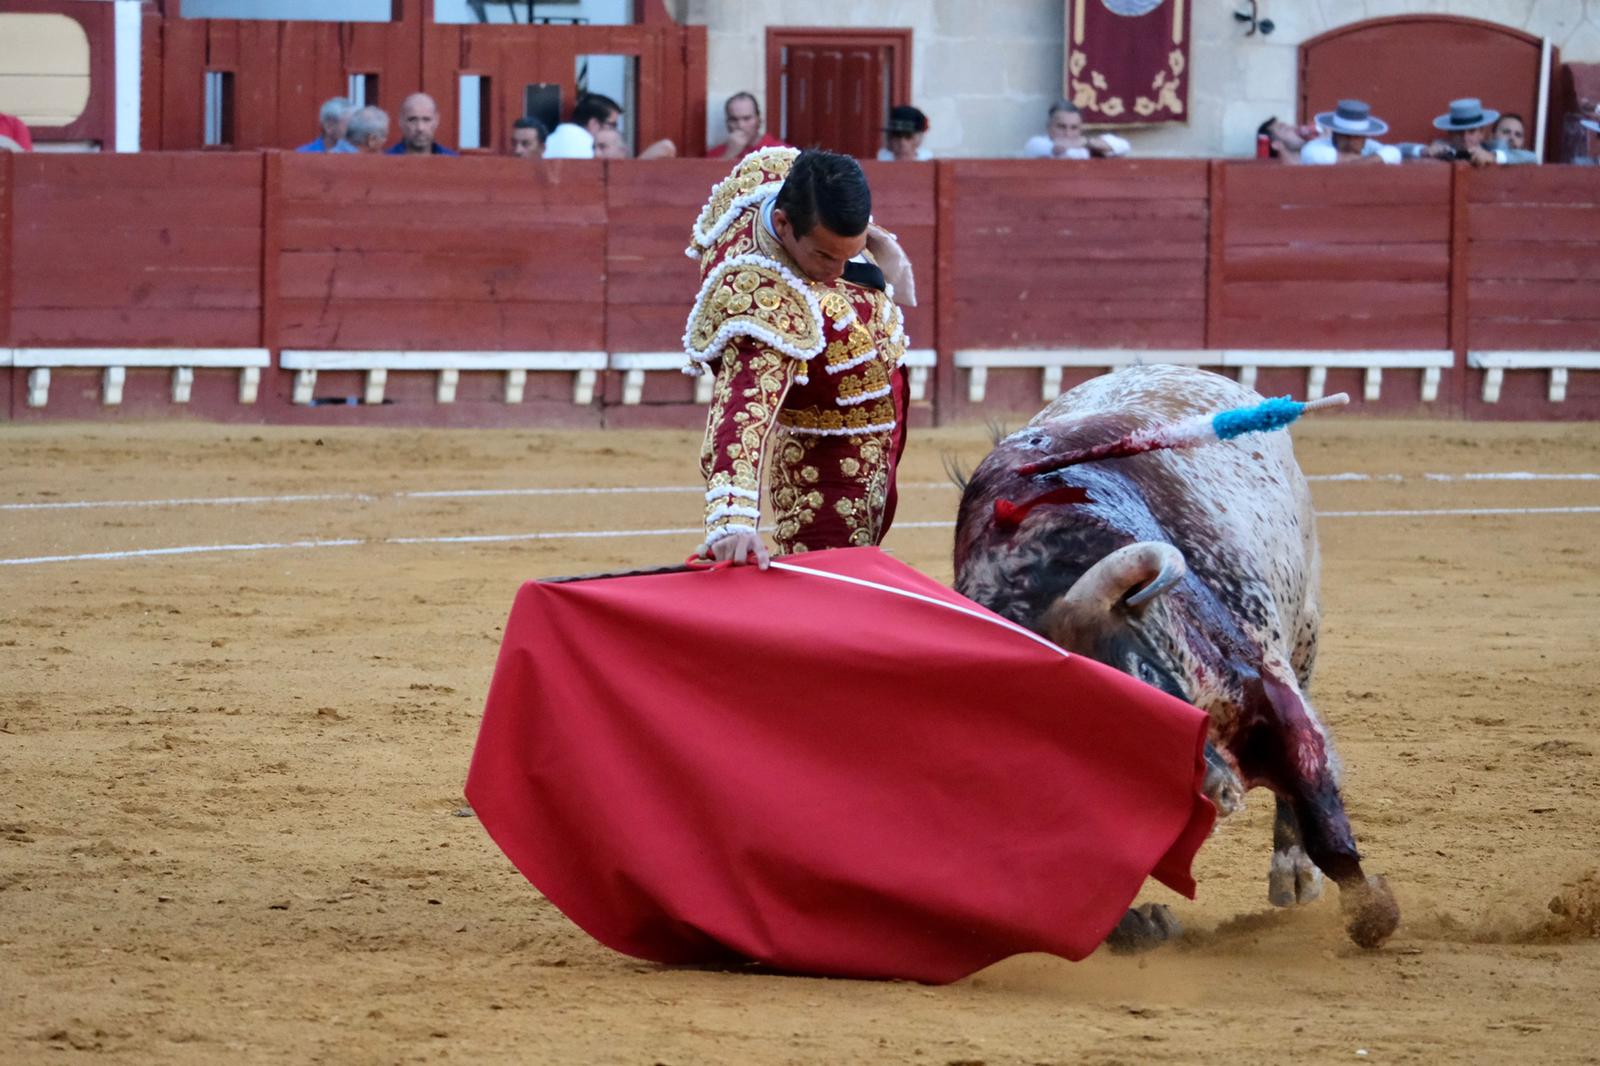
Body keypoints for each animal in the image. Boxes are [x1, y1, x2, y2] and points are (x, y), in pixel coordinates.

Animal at [947, 363, 1401, 947]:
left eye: (1139, 675)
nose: (1213, 791)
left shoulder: (1260, 686)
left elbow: (1313, 788)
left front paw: (1371, 911)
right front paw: (1138, 923)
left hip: (1304, 630)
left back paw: (1294, 874)